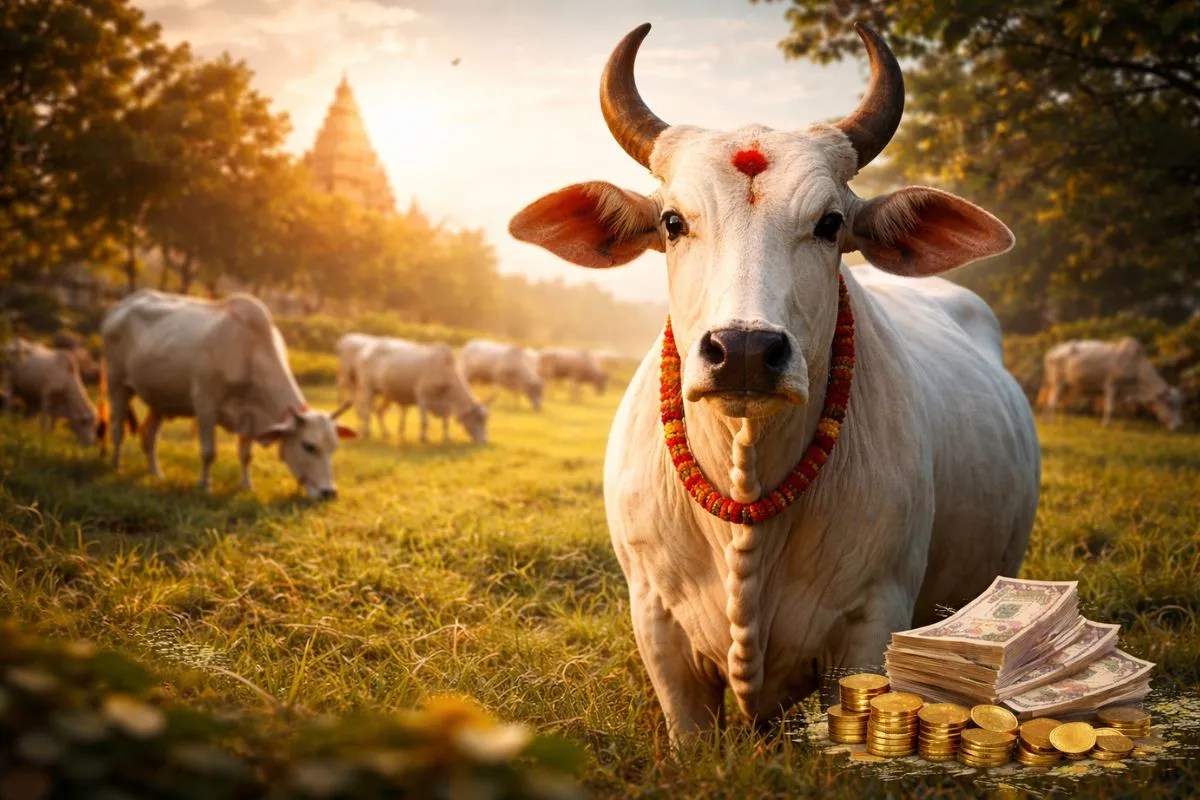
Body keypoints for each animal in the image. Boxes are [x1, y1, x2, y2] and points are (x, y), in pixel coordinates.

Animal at [100, 290, 355, 499]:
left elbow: (246, 454)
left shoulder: (249, 416)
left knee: (149, 436)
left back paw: (156, 474)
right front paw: (204, 485)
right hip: (117, 384)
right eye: (308, 446)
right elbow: (208, 451)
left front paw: (247, 485)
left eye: (334, 446)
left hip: (161, 398)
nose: (329, 492)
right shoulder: (205, 405)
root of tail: (121, 305)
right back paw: (116, 466)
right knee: (117, 428)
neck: (249, 352)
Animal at [355, 338, 490, 444]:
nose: (484, 441)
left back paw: (385, 433)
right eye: (478, 419)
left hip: (387, 394)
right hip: (368, 388)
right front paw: (423, 438)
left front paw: (447, 437)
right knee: (366, 411)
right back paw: (367, 432)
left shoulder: (446, 404)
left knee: (379, 411)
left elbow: (446, 422)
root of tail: (367, 350)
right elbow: (425, 421)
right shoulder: (422, 397)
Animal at [1041, 338, 1183, 430]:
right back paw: (1051, 421)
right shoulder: (1111, 385)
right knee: (1052, 402)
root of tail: (1052, 351)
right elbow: (1110, 407)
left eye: (1178, 406)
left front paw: (1126, 424)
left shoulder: (1123, 392)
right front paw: (1106, 424)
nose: (1178, 426)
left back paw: (1061, 421)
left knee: (1059, 402)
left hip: (1065, 385)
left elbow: (1125, 409)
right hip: (1058, 382)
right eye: (1170, 404)